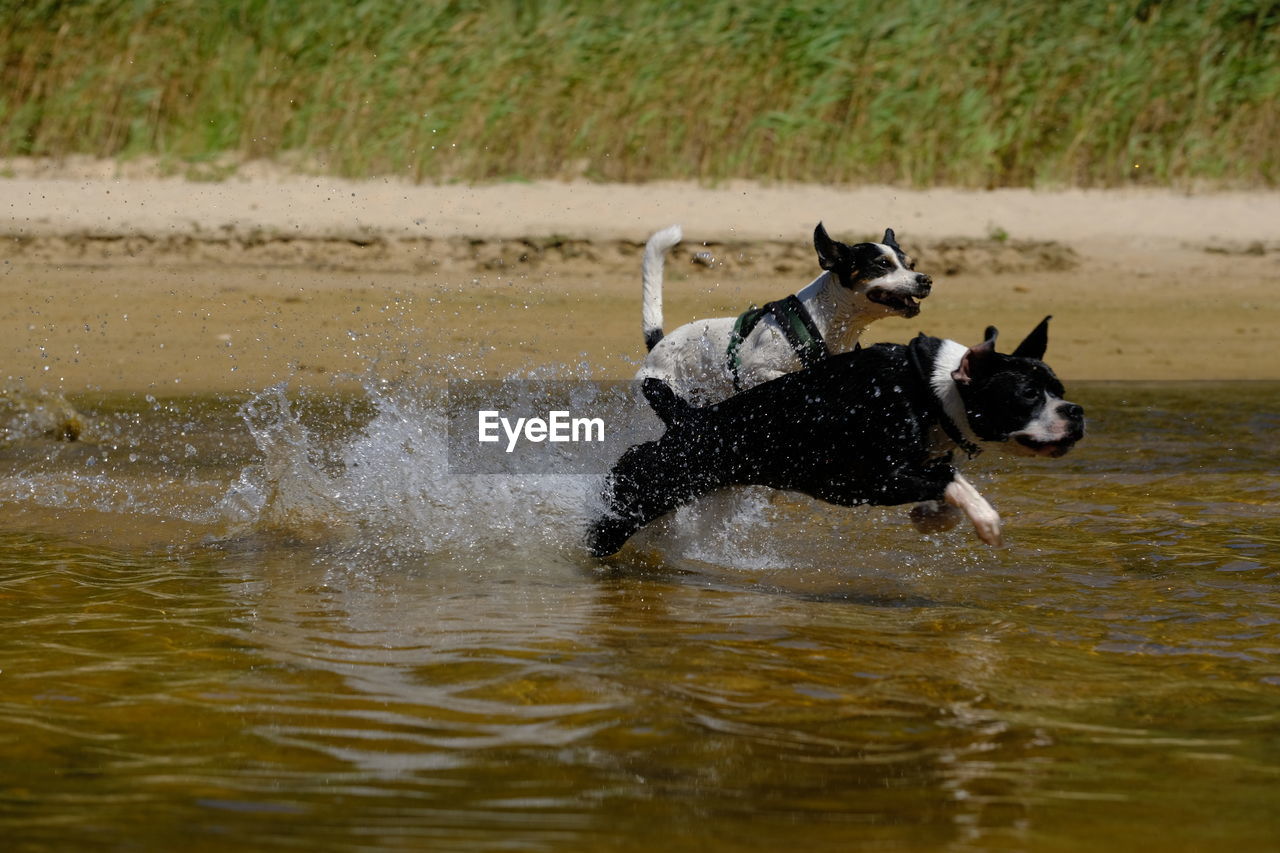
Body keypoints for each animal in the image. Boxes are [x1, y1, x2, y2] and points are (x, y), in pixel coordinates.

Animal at [586, 315, 1080, 555]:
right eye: (1028, 394)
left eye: (1059, 389)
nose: (1074, 412)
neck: (929, 388)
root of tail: (687, 418)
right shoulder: (869, 481)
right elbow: (951, 480)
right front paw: (985, 519)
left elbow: (942, 484)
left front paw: (934, 518)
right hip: (648, 488)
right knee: (604, 529)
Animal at [637, 222, 931, 402]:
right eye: (882, 264)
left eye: (911, 264)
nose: (926, 280)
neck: (822, 321)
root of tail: (658, 343)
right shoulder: (754, 371)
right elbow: (787, 378)